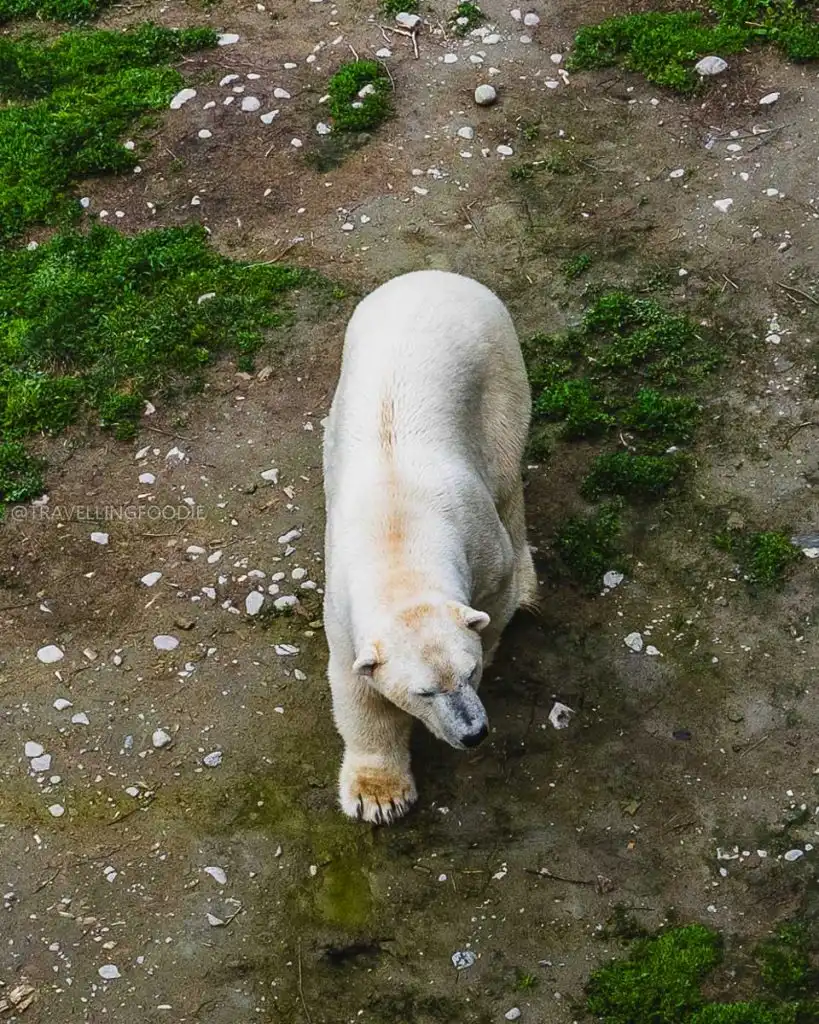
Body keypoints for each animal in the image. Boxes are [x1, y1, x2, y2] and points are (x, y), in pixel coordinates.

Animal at [322, 270, 536, 823]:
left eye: (470, 671)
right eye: (424, 691)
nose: (474, 733)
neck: (398, 545)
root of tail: (435, 275)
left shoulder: (482, 547)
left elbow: (496, 599)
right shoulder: (344, 613)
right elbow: (358, 693)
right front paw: (379, 796)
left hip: (498, 378)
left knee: (508, 479)